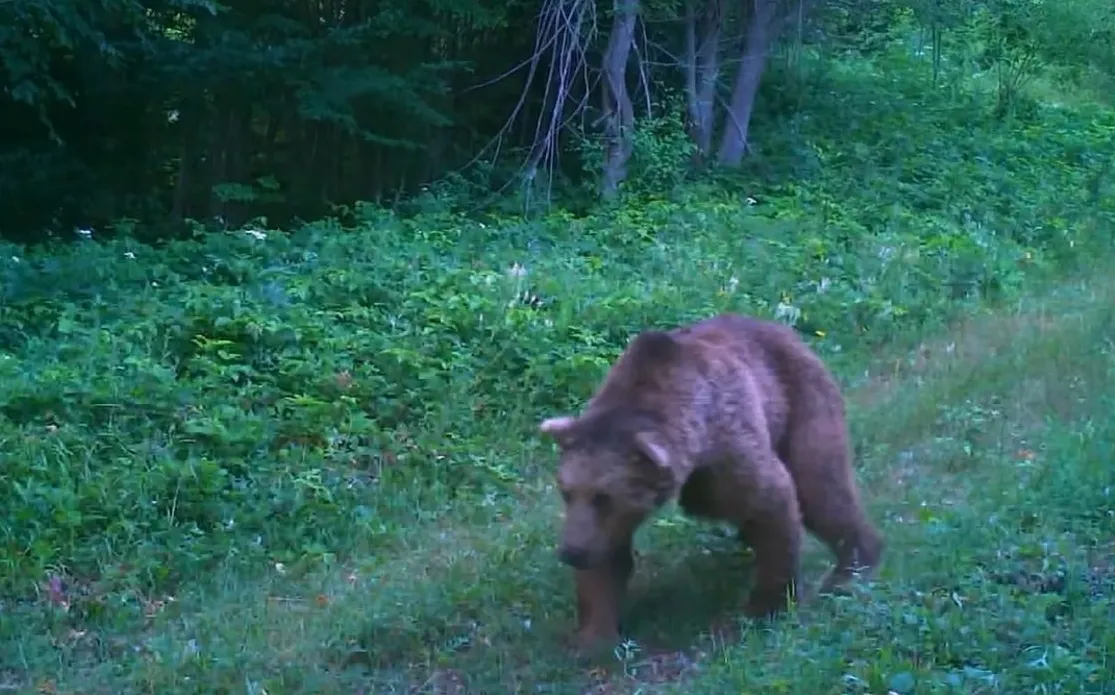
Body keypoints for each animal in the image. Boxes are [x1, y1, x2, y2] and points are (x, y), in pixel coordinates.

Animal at [541, 312, 887, 651]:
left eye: (603, 496)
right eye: (566, 492)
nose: (570, 552)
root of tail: (784, 329)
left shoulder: (727, 444)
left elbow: (770, 501)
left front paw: (762, 608)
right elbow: (608, 556)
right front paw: (594, 635)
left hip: (802, 399)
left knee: (821, 486)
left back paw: (851, 567)